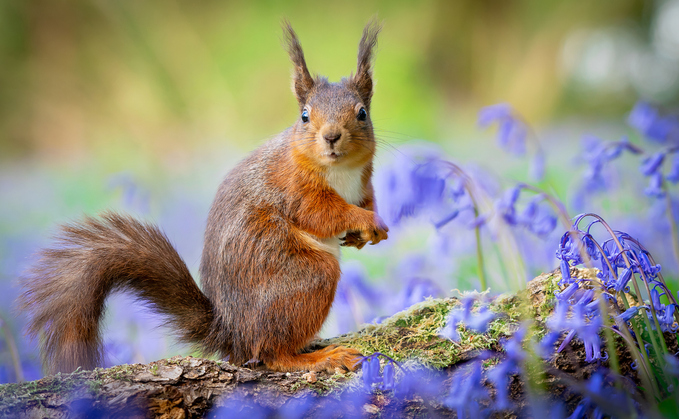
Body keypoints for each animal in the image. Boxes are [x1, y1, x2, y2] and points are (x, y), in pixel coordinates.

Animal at [17, 21, 388, 376]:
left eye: (362, 113)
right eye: (305, 116)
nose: (331, 136)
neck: (339, 171)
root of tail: (233, 334)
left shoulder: (363, 182)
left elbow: (366, 199)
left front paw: (373, 229)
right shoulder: (294, 188)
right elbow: (322, 213)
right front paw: (365, 221)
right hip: (304, 277)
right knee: (270, 353)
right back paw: (317, 358)